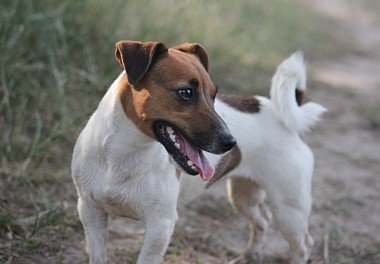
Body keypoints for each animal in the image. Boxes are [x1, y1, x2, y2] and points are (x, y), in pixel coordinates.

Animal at [72, 39, 326, 264]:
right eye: (186, 93)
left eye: (213, 95)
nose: (231, 142)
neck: (122, 155)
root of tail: (277, 113)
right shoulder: (90, 212)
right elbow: (97, 256)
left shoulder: (161, 226)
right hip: (243, 196)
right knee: (262, 221)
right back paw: (248, 256)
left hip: (289, 211)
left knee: (303, 246)